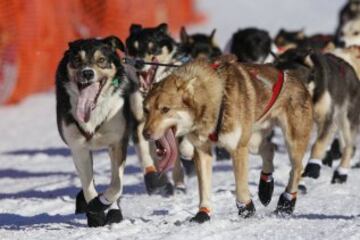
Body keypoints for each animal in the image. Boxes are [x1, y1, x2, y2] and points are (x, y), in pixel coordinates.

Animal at [55, 36, 136, 227]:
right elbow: (88, 185)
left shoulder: (117, 144)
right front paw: (95, 213)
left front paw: (102, 203)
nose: (87, 73)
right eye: (77, 60)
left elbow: (116, 185)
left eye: (101, 60)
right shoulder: (79, 148)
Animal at [142, 55, 314, 222]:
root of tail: (291, 74)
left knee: (296, 169)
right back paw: (265, 188)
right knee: (269, 148)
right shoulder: (202, 150)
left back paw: (286, 203)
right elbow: (204, 186)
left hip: (292, 142)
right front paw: (203, 214)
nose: (145, 134)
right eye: (146, 110)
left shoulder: (237, 149)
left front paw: (247, 210)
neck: (216, 99)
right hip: (253, 142)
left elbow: (241, 186)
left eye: (165, 109)